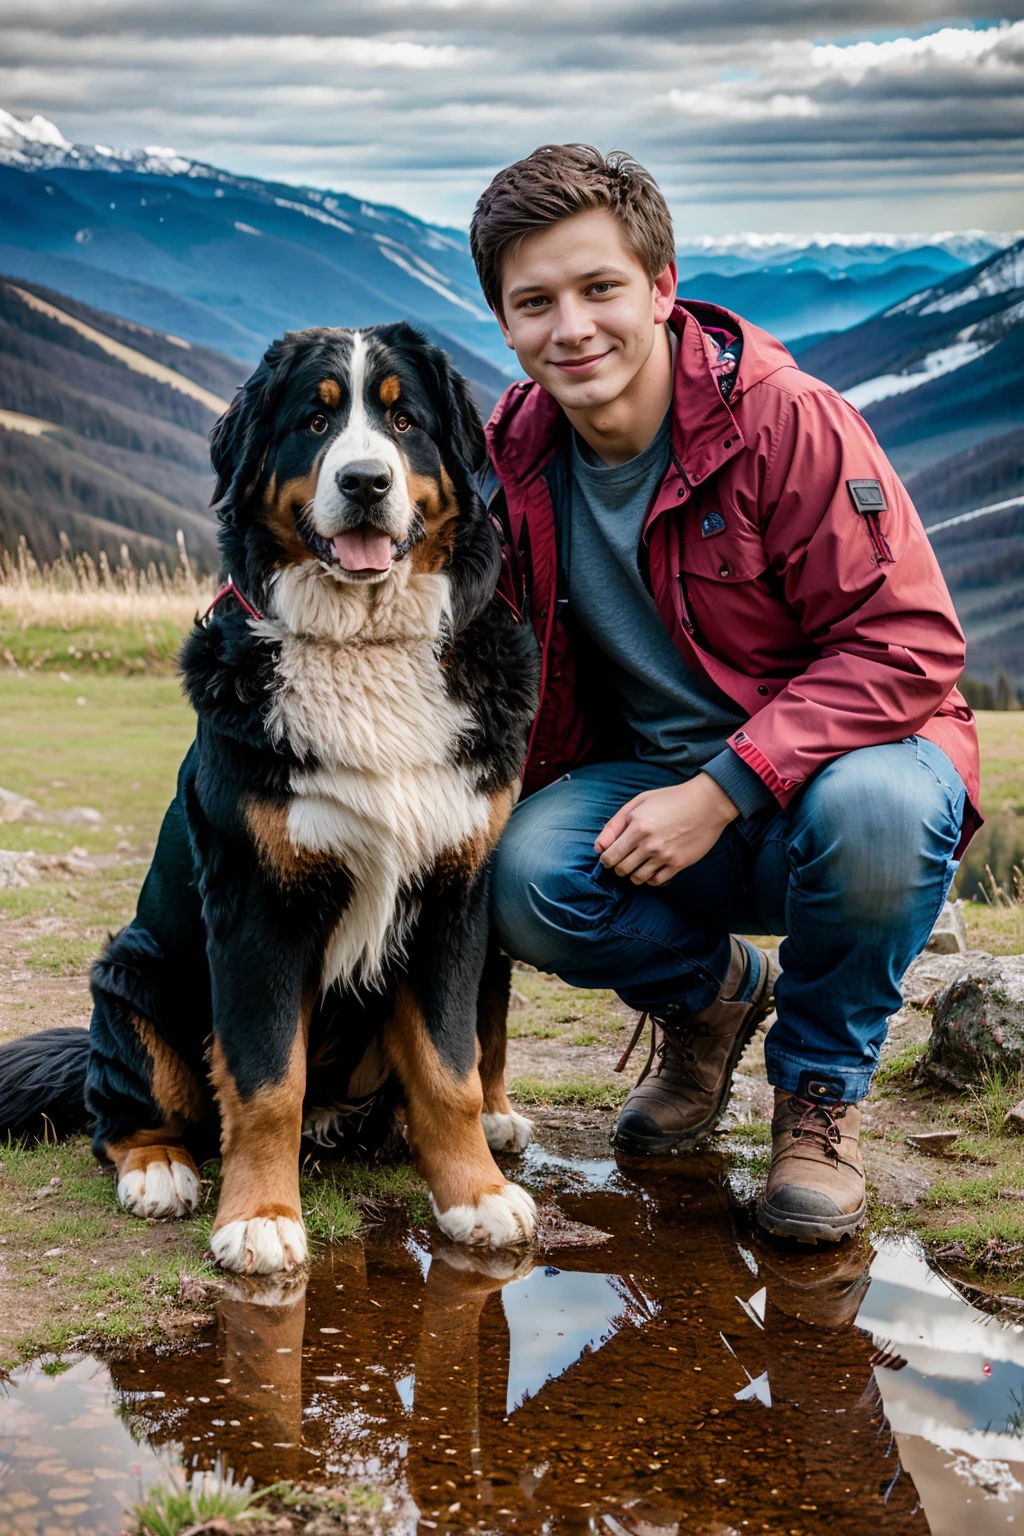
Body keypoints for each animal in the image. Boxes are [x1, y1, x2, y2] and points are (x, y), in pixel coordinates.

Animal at [0, 324, 543, 1271]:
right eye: (314, 421)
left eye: (404, 421)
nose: (364, 482)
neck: (364, 647)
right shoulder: (260, 906)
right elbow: (264, 1081)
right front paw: (259, 1217)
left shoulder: (454, 894)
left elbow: (450, 1070)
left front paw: (474, 1195)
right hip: (135, 976)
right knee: (124, 1116)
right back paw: (160, 1170)